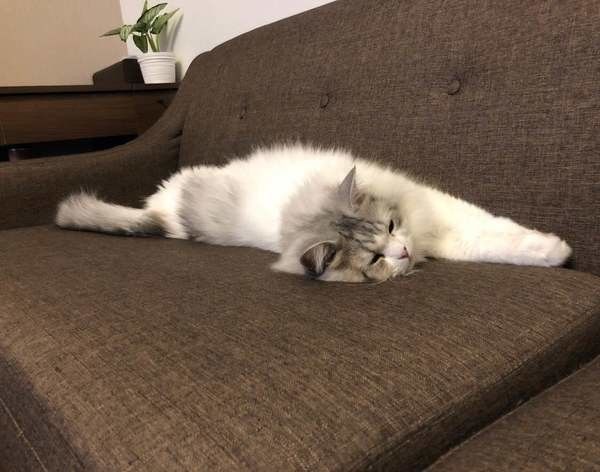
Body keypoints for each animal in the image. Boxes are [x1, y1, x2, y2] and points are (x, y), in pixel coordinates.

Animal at [56, 144, 572, 283]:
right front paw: (556, 251)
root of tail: (162, 213)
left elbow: (489, 232)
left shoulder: (431, 212)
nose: (404, 252)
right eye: (373, 260)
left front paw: (554, 249)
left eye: (391, 226)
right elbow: (486, 237)